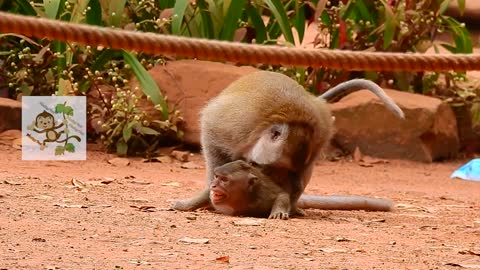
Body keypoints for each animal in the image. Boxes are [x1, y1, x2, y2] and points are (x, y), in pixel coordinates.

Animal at [211, 160, 394, 219]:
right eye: (216, 176)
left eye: (224, 180)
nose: (213, 185)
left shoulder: (261, 196)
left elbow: (282, 195)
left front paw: (279, 212)